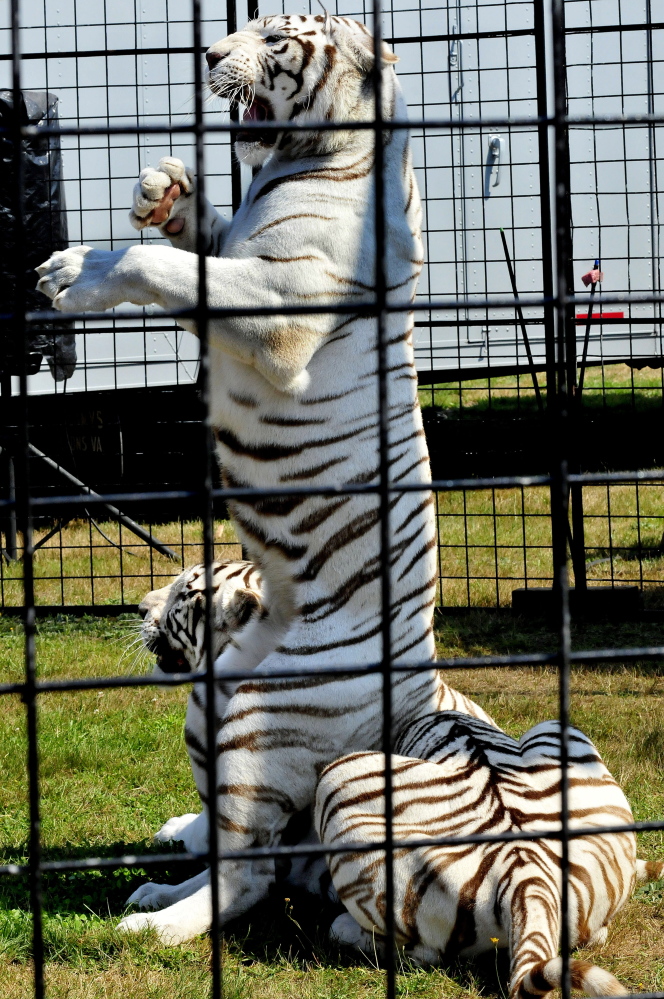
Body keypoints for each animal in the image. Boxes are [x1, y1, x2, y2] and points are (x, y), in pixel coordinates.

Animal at [36, 11, 492, 940]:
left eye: (276, 39)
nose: (208, 52)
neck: (305, 157)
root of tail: (417, 695)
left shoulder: (278, 306)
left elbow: (161, 268)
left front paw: (78, 272)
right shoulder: (237, 248)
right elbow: (193, 239)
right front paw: (162, 189)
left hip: (245, 709)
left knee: (248, 872)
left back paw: (157, 924)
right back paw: (164, 870)